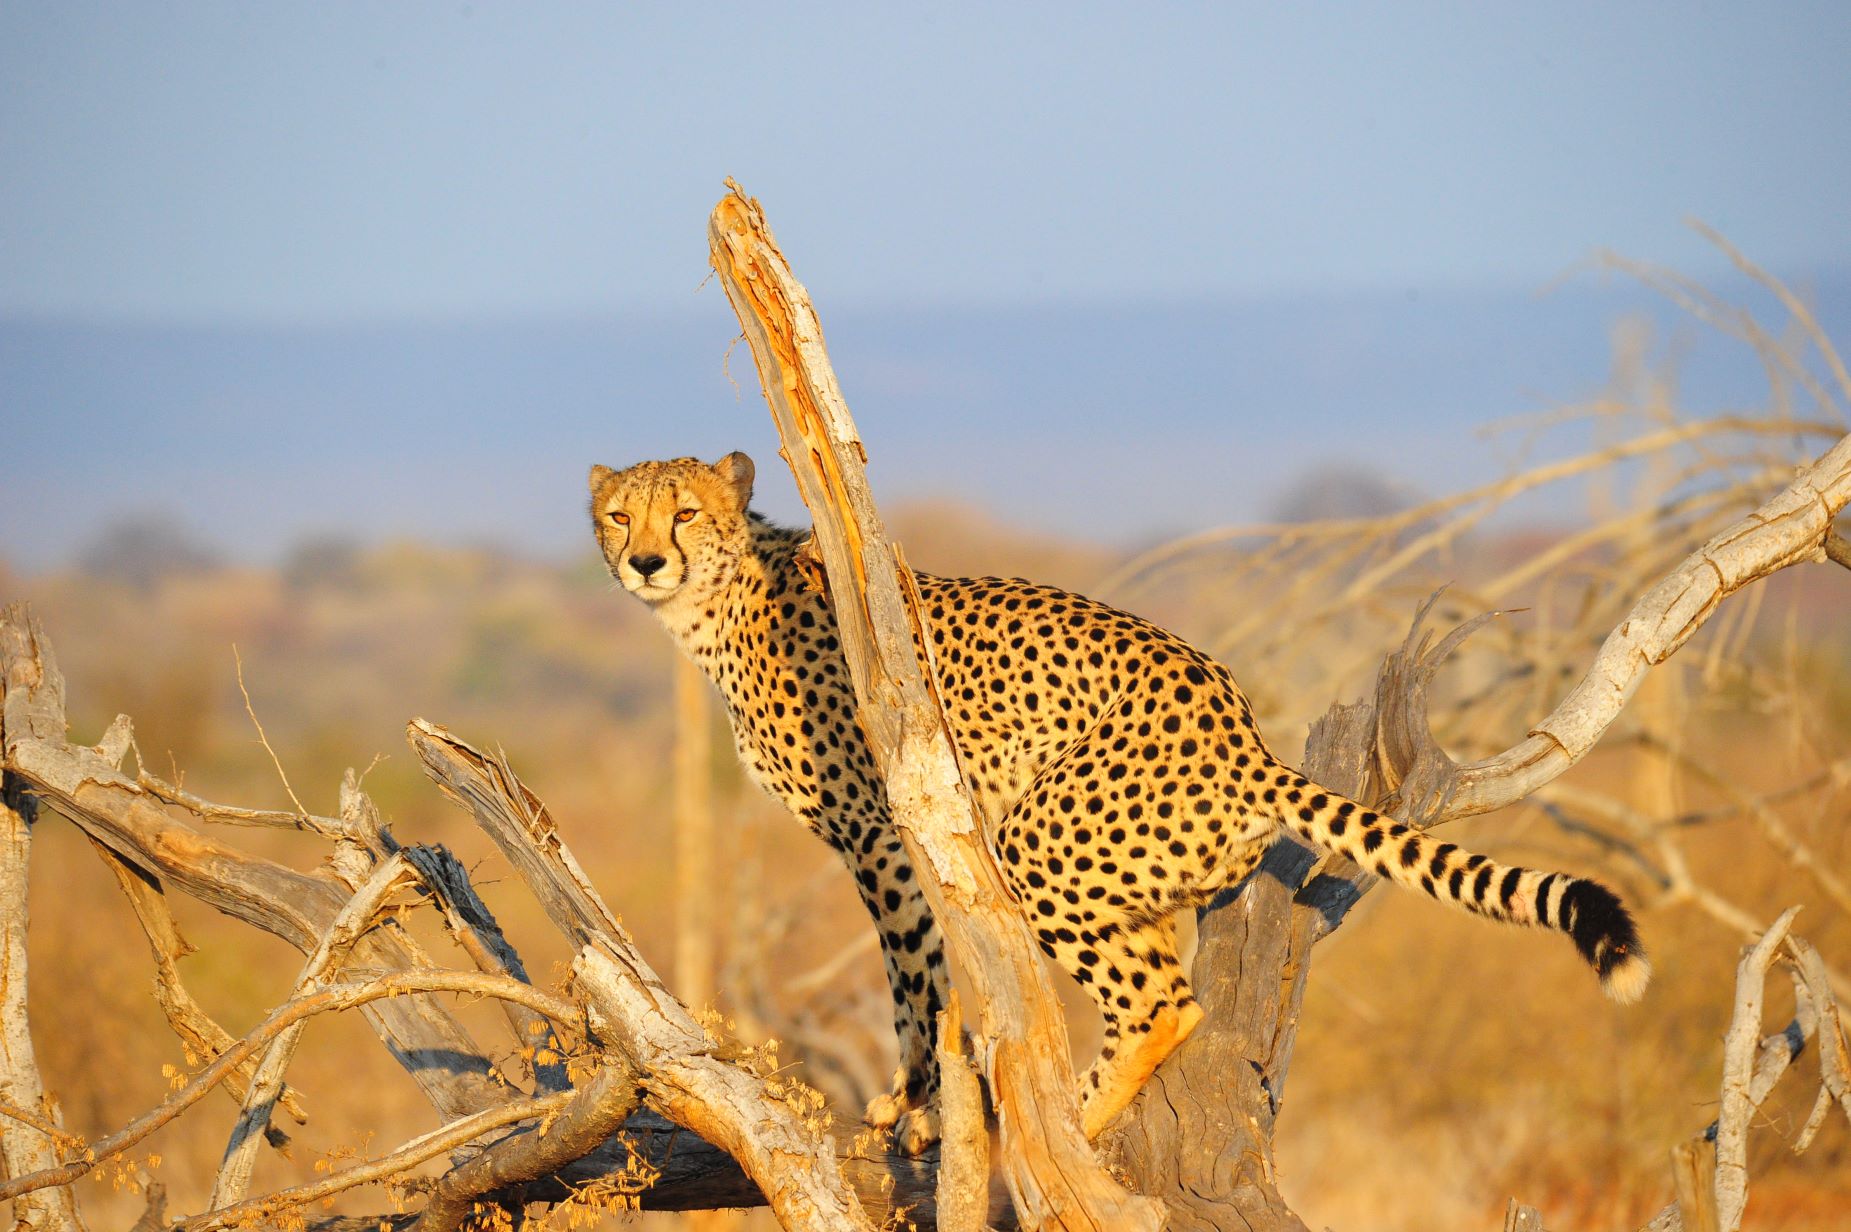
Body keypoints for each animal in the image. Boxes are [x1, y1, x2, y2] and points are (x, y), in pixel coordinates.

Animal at [589, 451, 1650, 1151]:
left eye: (685, 513)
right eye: (619, 517)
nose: (643, 563)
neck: (723, 599)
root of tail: (1240, 728)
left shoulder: (881, 834)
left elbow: (911, 975)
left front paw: (910, 1106)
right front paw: (919, 1106)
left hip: (1037, 842)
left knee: (1154, 1005)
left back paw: (1066, 1116)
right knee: (1168, 994)